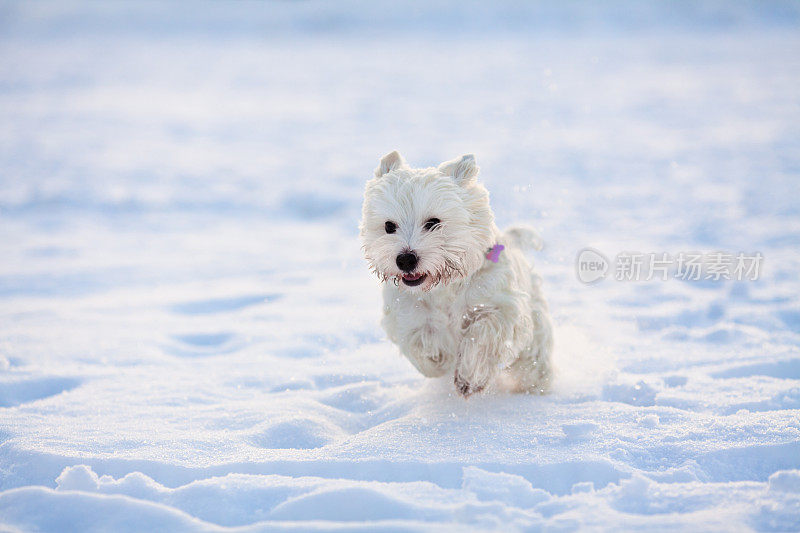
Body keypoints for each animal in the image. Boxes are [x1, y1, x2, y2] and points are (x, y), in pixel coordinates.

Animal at [360, 150, 552, 394]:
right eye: (388, 226)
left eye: (433, 222)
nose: (405, 259)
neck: (444, 286)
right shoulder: (407, 314)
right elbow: (420, 344)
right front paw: (439, 360)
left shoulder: (499, 306)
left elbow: (484, 335)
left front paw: (469, 377)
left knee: (533, 365)